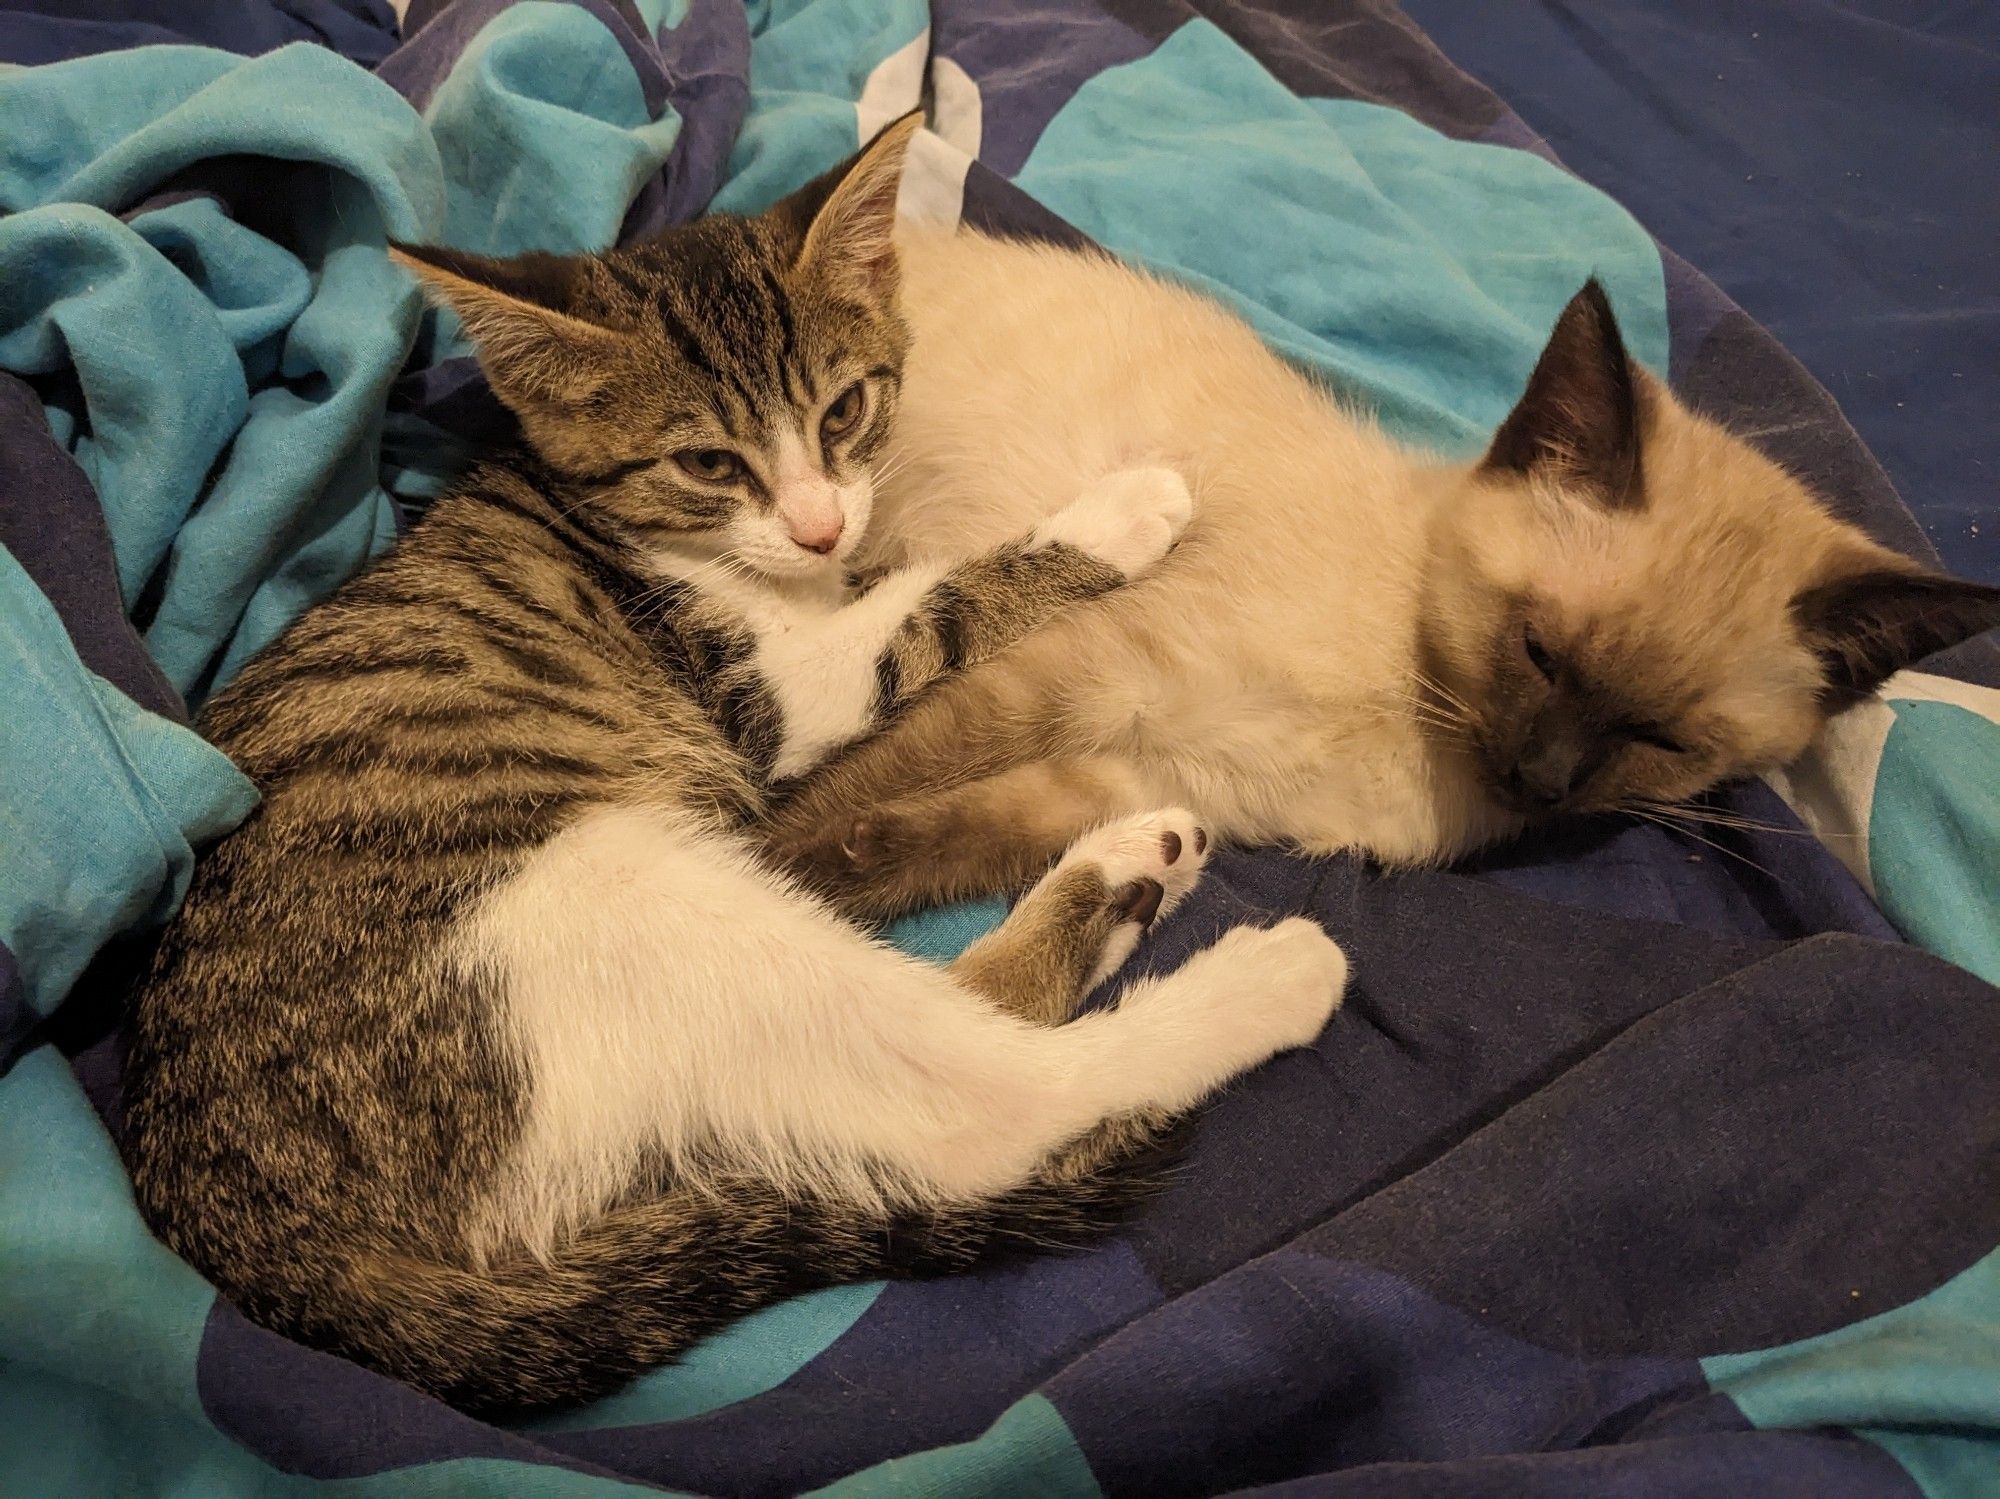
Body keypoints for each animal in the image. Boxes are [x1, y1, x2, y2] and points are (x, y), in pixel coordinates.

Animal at [121, 120, 1344, 1423]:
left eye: (845, 406)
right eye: (707, 460)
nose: (816, 525)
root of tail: (275, 1258)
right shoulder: (759, 687)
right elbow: (929, 605)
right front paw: (1113, 515)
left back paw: (1124, 877)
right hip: (598, 891)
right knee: (982, 1106)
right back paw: (1261, 976)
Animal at [764, 211, 2000, 915]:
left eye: (1661, 740)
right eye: (1537, 652)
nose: (1542, 780)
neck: (1413, 727)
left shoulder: (1139, 773)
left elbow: (905, 842)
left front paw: (809, 885)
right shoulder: (1082, 681)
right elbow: (858, 781)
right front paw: (745, 869)